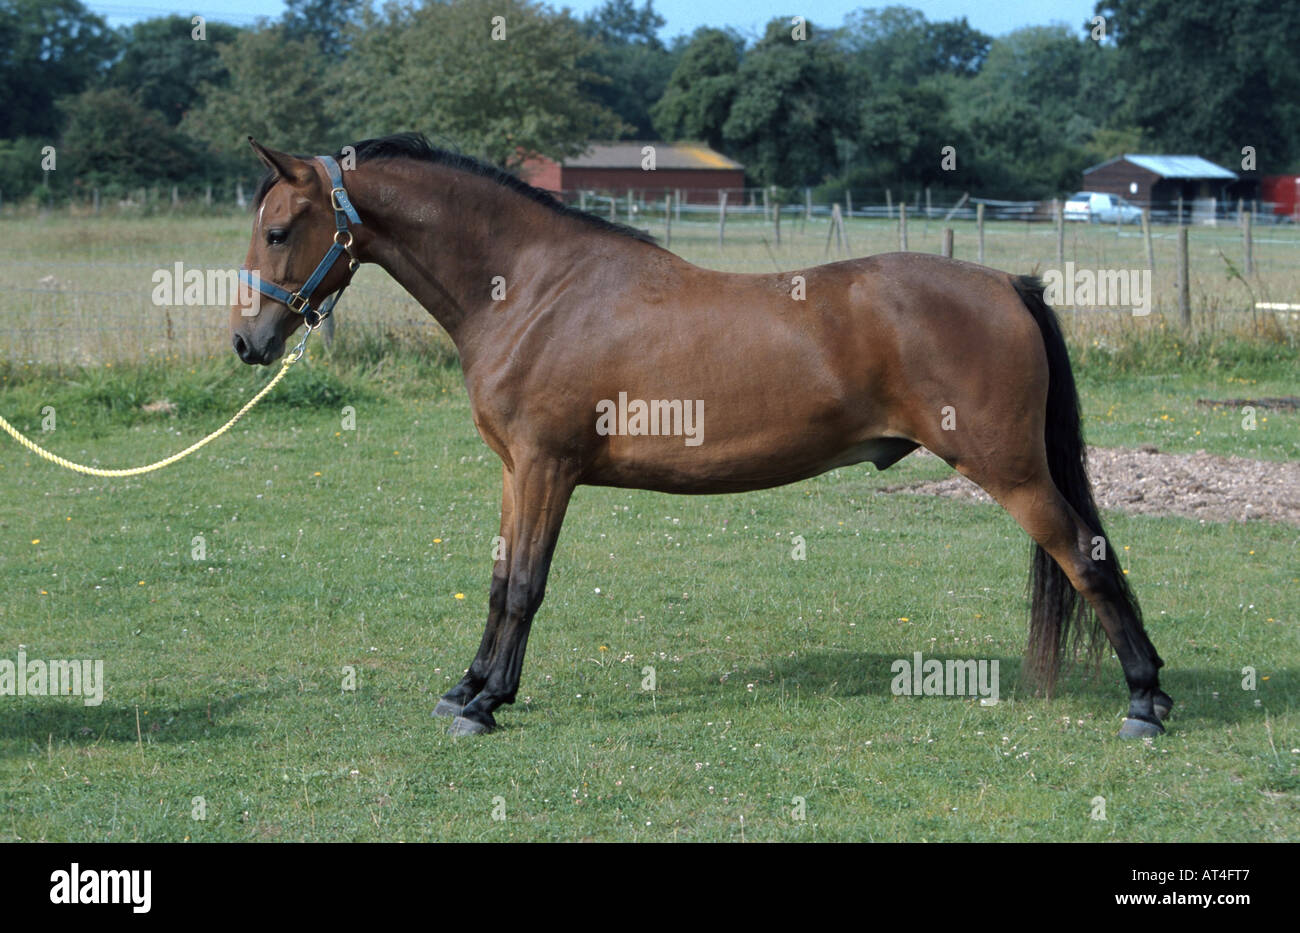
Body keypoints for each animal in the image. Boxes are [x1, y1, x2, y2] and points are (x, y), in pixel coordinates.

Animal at [233, 135, 1180, 743]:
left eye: (279, 231)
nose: (248, 342)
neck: (537, 288)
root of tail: (1008, 283)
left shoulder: (546, 468)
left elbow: (527, 587)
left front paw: (485, 703)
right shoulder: (515, 472)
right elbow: (501, 580)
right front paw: (467, 686)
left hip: (1013, 471)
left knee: (1087, 559)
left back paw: (1145, 701)